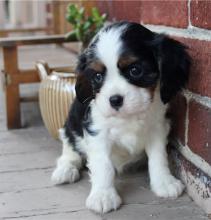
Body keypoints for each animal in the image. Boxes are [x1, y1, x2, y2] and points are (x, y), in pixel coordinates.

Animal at [51, 21, 191, 213]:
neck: (129, 116)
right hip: (71, 123)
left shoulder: (157, 127)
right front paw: (103, 196)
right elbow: (103, 165)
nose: (115, 100)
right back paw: (65, 170)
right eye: (97, 76)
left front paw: (164, 182)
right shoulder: (97, 132)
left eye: (135, 70)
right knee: (69, 149)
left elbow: (158, 157)